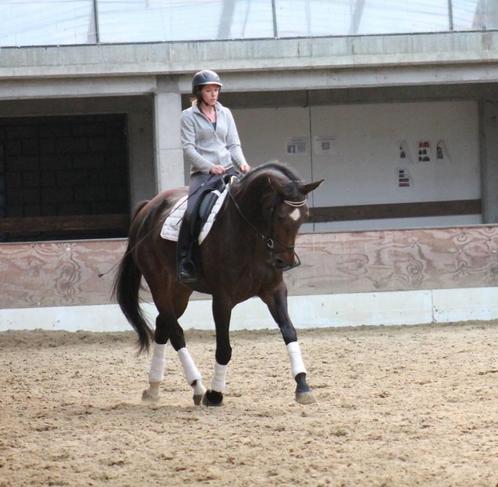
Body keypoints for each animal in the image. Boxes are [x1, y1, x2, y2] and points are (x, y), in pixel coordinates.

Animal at [112, 162, 322, 406]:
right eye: (275, 213)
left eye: (304, 216)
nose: (284, 262)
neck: (249, 232)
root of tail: (148, 207)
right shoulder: (222, 298)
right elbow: (223, 348)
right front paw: (215, 394)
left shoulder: (274, 290)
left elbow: (289, 331)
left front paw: (303, 385)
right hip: (159, 285)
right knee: (176, 332)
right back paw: (197, 386)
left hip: (180, 291)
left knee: (163, 326)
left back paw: (154, 388)